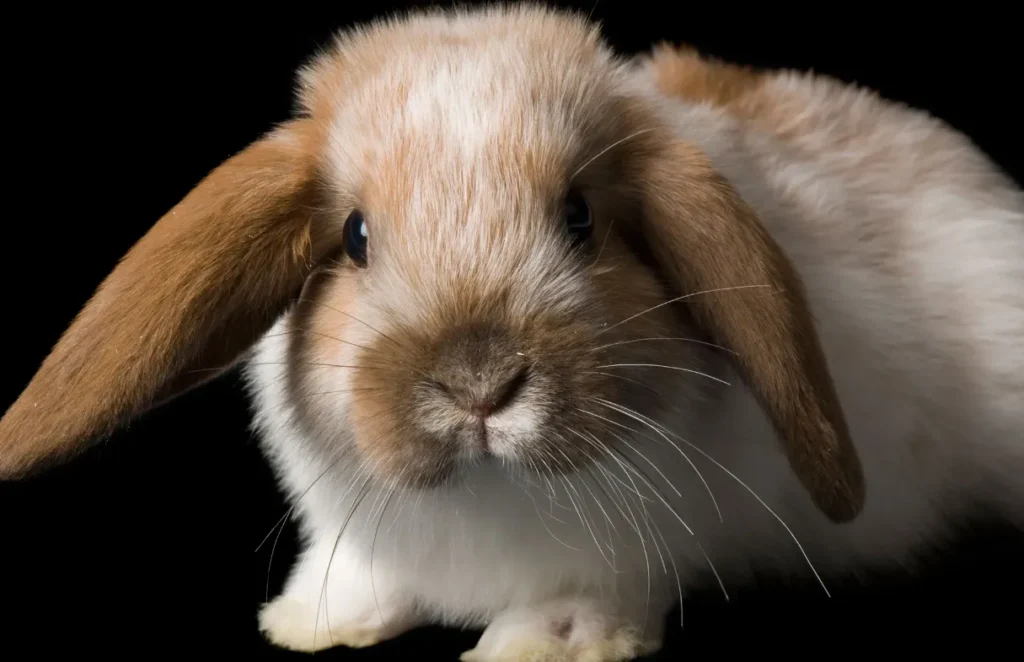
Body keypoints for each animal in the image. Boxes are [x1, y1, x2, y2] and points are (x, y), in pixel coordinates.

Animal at [2, 4, 1023, 661]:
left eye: (580, 217)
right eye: (356, 237)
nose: (478, 382)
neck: (486, 501)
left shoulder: (626, 555)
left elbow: (588, 598)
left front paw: (542, 644)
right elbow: (355, 579)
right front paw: (313, 624)